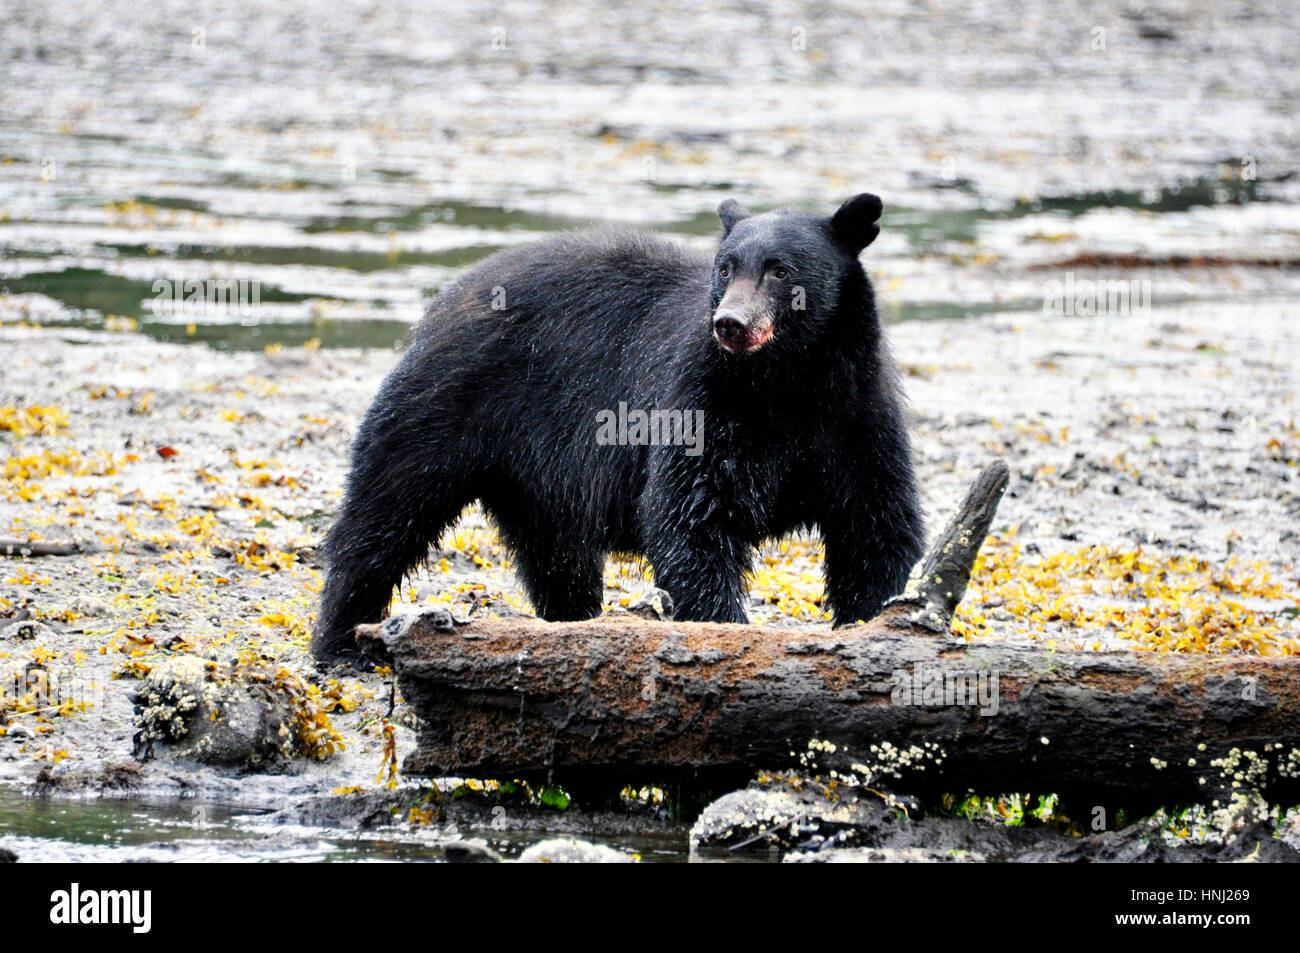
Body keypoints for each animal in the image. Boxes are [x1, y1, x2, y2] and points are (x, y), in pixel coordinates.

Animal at [312, 193, 925, 664]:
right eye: (726, 267)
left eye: (781, 269)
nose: (730, 323)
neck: (789, 382)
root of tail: (450, 294)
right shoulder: (702, 401)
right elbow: (689, 515)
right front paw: (728, 630)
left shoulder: (856, 415)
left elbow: (876, 523)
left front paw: (871, 622)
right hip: (449, 405)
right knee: (385, 513)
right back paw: (342, 640)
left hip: (537, 476)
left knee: (557, 557)